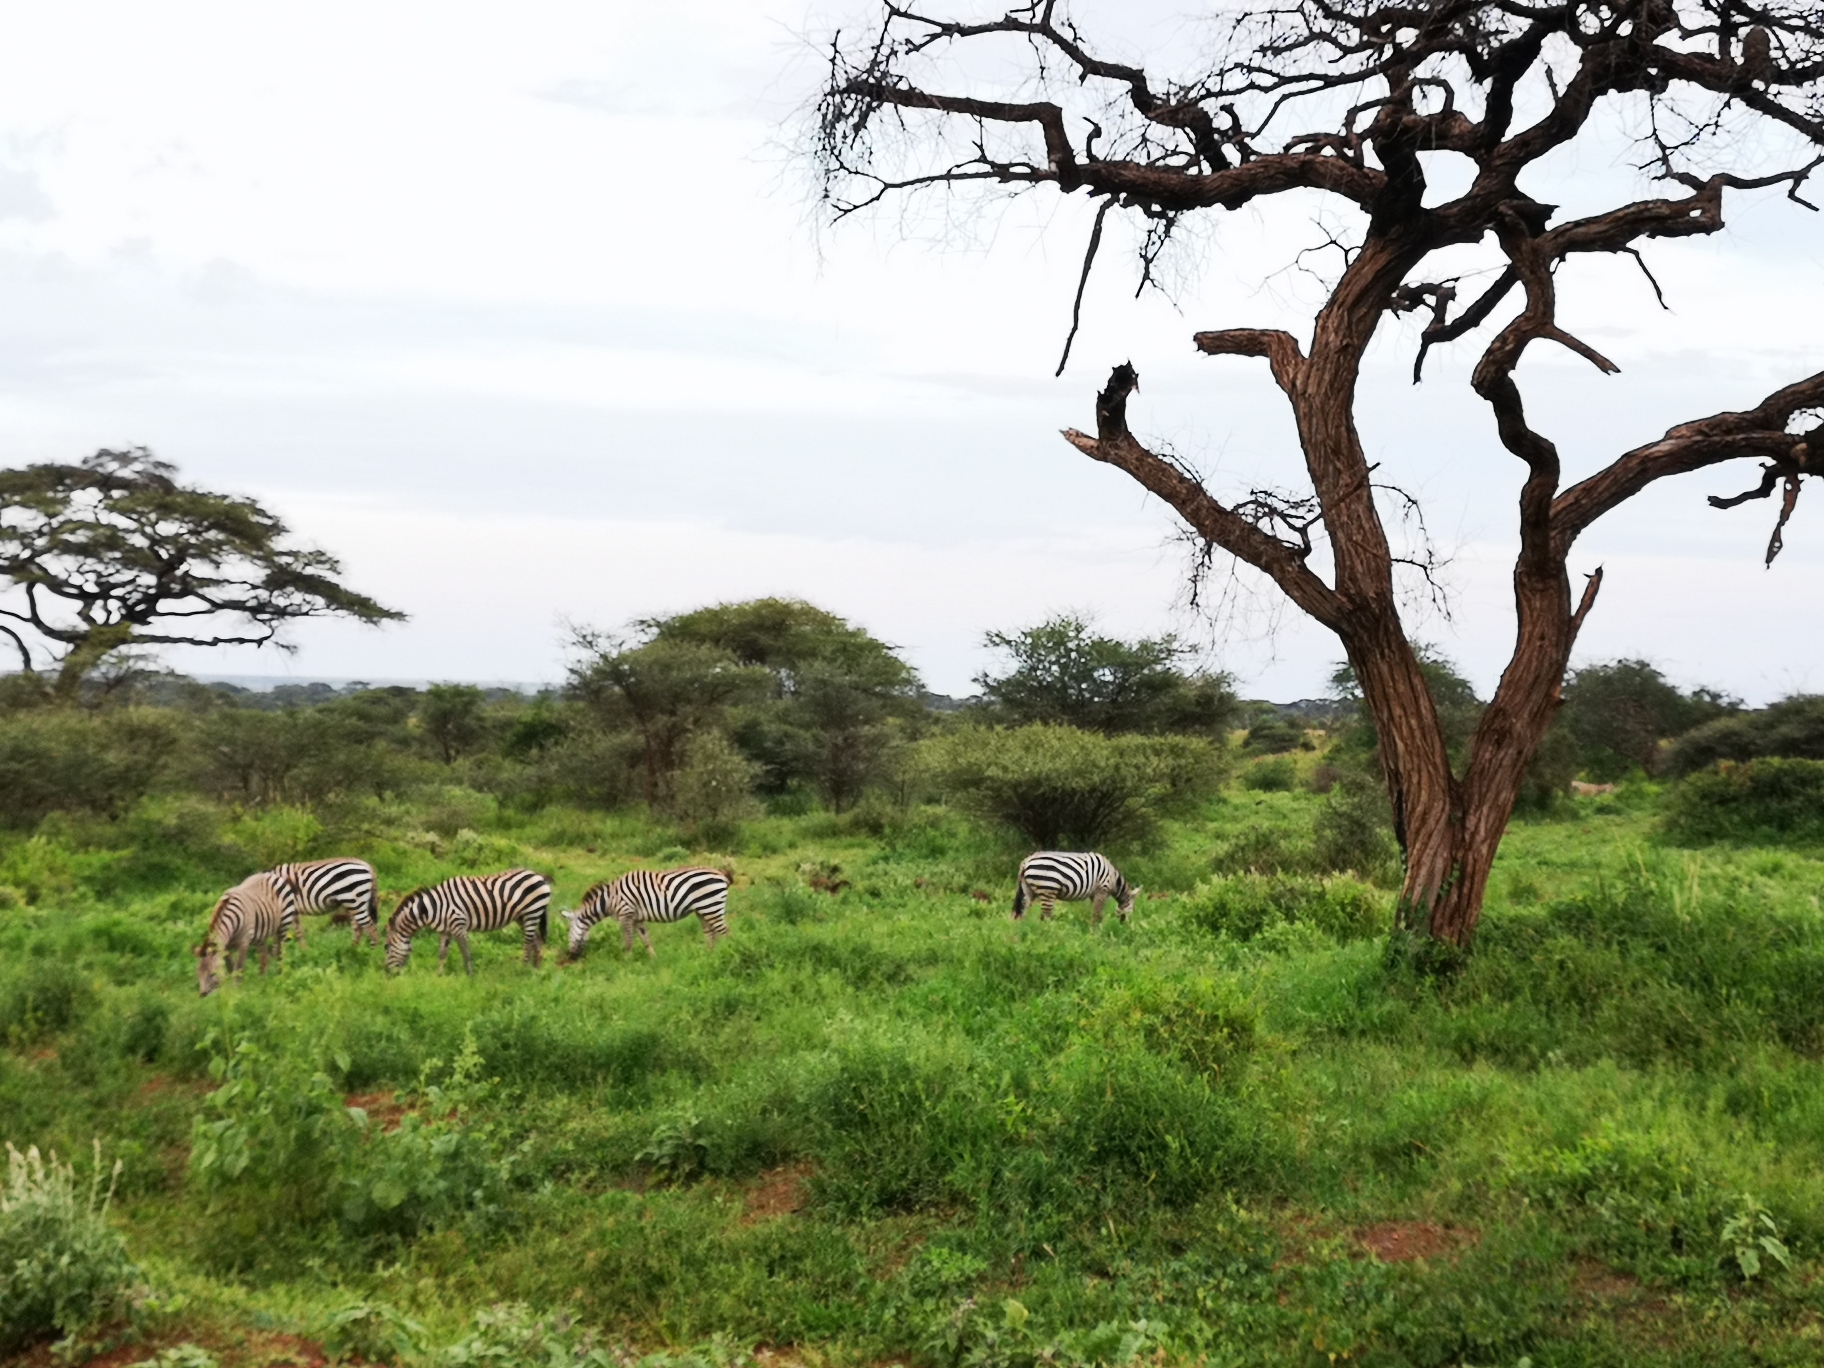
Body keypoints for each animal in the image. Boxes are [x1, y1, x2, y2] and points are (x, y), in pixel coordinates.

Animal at [196, 871, 295, 999]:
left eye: (212, 974)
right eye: (198, 973)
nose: (202, 995)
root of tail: (270, 874)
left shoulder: (244, 943)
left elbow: (239, 968)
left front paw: (237, 992)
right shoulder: (226, 947)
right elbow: (231, 968)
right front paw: (231, 990)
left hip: (283, 925)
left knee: (280, 954)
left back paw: (280, 978)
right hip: (261, 934)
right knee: (265, 958)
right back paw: (262, 982)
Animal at [383, 868, 547, 977]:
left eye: (387, 947)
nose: (387, 973)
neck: (435, 907)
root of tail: (538, 875)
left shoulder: (459, 926)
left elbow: (465, 953)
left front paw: (470, 976)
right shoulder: (445, 930)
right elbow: (442, 954)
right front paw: (439, 976)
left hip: (532, 912)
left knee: (528, 943)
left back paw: (522, 970)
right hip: (523, 917)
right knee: (537, 941)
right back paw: (536, 970)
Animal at [558, 871, 729, 955]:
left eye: (567, 931)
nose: (571, 954)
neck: (609, 899)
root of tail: (721, 875)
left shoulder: (625, 915)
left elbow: (628, 941)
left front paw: (627, 961)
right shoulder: (636, 918)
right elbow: (646, 939)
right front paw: (654, 959)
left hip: (711, 906)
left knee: (725, 932)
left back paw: (728, 952)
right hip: (703, 910)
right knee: (710, 932)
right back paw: (710, 954)